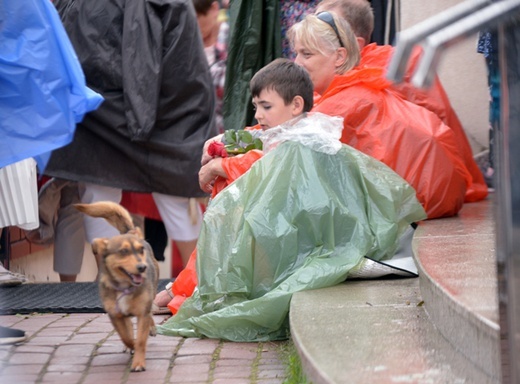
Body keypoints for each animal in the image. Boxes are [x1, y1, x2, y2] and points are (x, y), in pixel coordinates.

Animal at [74, 201, 157, 372]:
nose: (142, 267)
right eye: (123, 251)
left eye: (140, 250)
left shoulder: (143, 313)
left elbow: (141, 339)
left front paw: (138, 362)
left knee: (150, 312)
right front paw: (131, 345)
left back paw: (151, 328)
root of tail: (131, 231)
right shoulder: (115, 315)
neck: (125, 286)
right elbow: (126, 337)